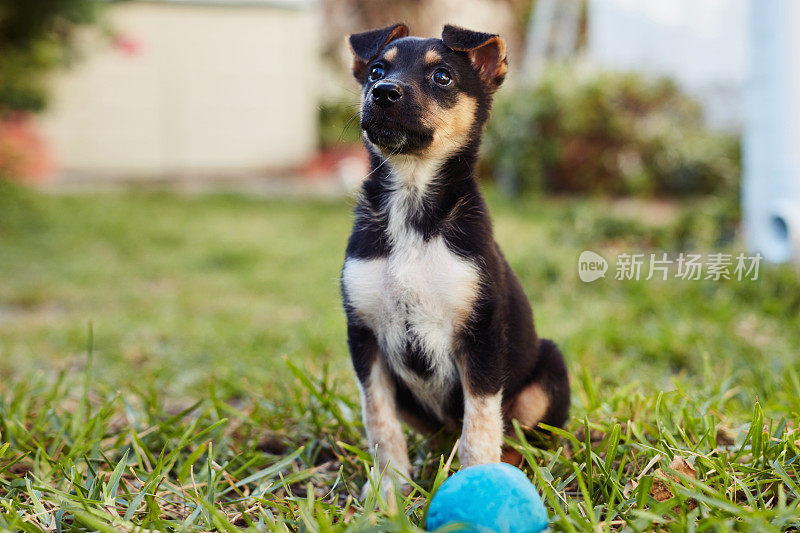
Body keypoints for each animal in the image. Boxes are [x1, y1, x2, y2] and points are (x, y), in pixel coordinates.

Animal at [340, 23, 572, 490]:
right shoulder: (364, 336)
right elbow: (379, 421)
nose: (384, 92)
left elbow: (480, 423)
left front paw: (480, 478)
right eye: (376, 70)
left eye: (442, 77)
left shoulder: (481, 334)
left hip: (548, 373)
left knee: (525, 435)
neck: (412, 206)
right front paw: (389, 488)